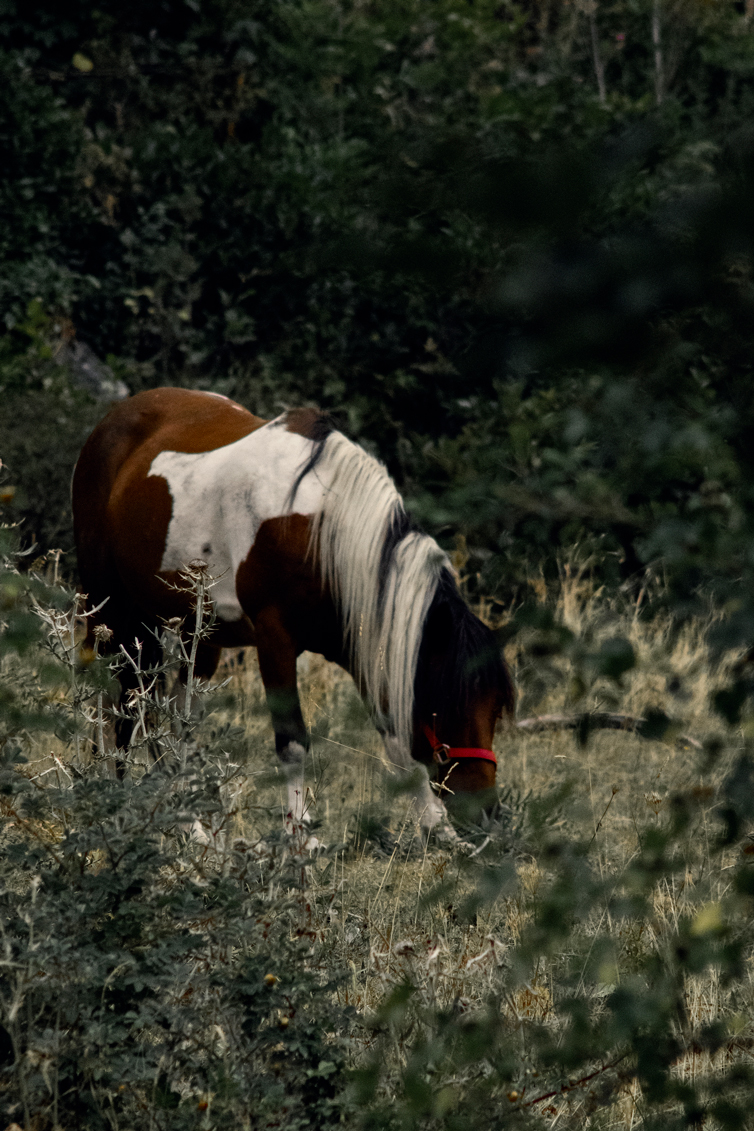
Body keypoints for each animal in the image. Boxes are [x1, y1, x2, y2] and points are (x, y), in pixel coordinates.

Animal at [72, 388, 515, 837]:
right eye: (446, 701)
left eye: (497, 705)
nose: (486, 812)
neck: (317, 530)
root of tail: (114, 420)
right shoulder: (275, 641)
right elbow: (293, 742)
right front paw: (298, 837)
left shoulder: (364, 640)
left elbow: (393, 735)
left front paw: (435, 829)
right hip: (109, 607)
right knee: (107, 699)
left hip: (195, 636)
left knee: (170, 715)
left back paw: (191, 823)